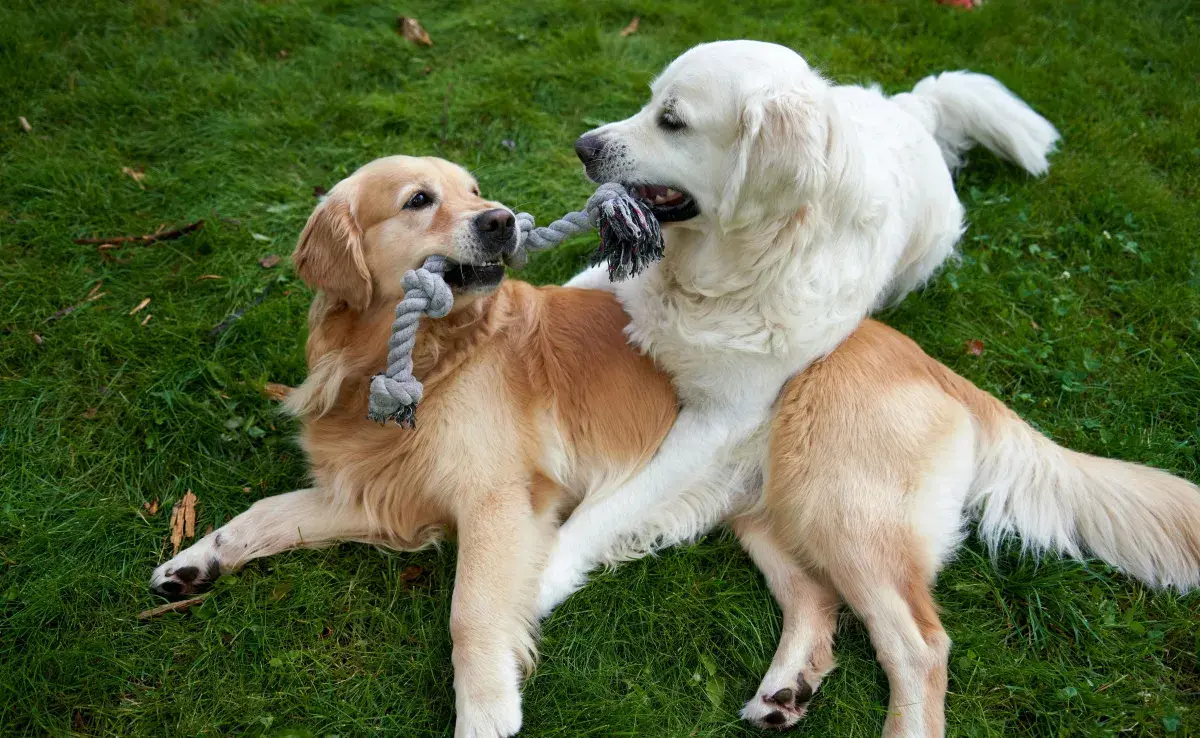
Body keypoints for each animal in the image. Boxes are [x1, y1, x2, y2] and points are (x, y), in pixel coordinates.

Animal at [148, 156, 676, 738]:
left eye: (474, 190)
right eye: (419, 200)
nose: (502, 220)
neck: (415, 357)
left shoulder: (496, 497)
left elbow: (470, 608)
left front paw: (485, 708)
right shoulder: (381, 487)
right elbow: (267, 511)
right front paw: (197, 558)